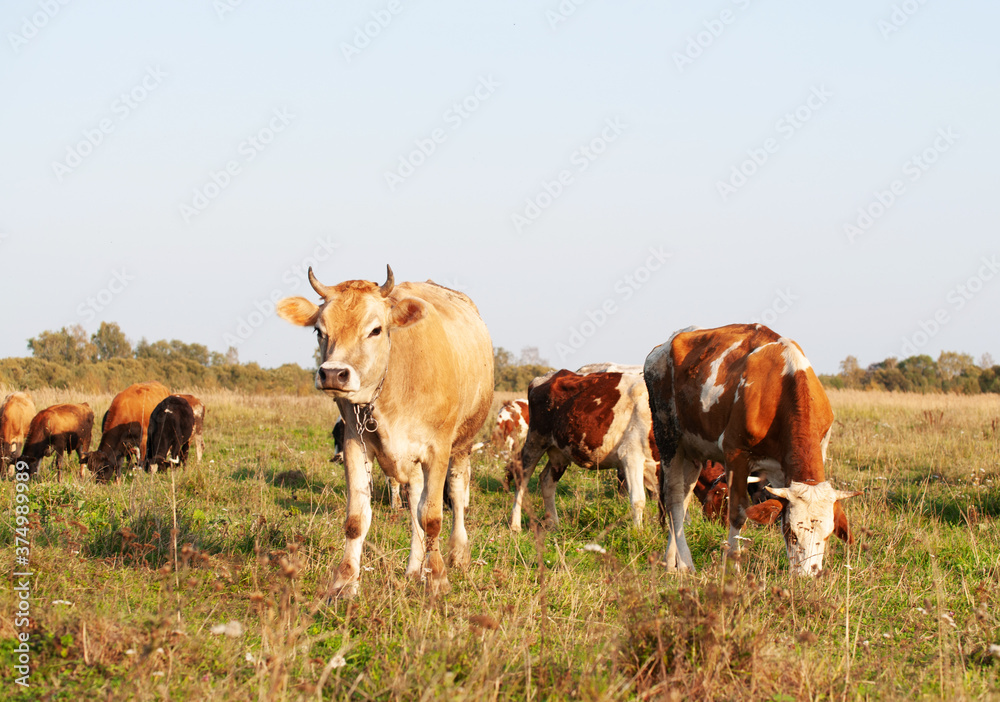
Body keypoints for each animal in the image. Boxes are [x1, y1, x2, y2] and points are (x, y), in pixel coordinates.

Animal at [276, 266, 494, 596]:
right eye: (319, 331)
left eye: (375, 330)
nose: (333, 374)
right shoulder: (355, 444)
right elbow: (358, 518)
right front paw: (344, 583)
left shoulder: (438, 449)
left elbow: (432, 517)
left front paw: (438, 578)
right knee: (415, 500)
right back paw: (414, 568)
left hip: (462, 444)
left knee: (456, 494)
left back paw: (457, 553)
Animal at [508, 372, 664, 532]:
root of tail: (548, 376)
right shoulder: (631, 455)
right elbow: (638, 500)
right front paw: (638, 531)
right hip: (535, 440)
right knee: (521, 479)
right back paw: (515, 525)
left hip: (559, 452)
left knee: (547, 482)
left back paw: (554, 524)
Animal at [644, 324, 864, 576]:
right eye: (791, 533)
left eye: (827, 536)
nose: (808, 577)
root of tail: (664, 346)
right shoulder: (735, 454)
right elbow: (738, 512)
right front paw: (732, 566)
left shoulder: (809, 455)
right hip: (668, 438)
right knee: (673, 499)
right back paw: (685, 564)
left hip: (693, 452)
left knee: (683, 498)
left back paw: (672, 561)